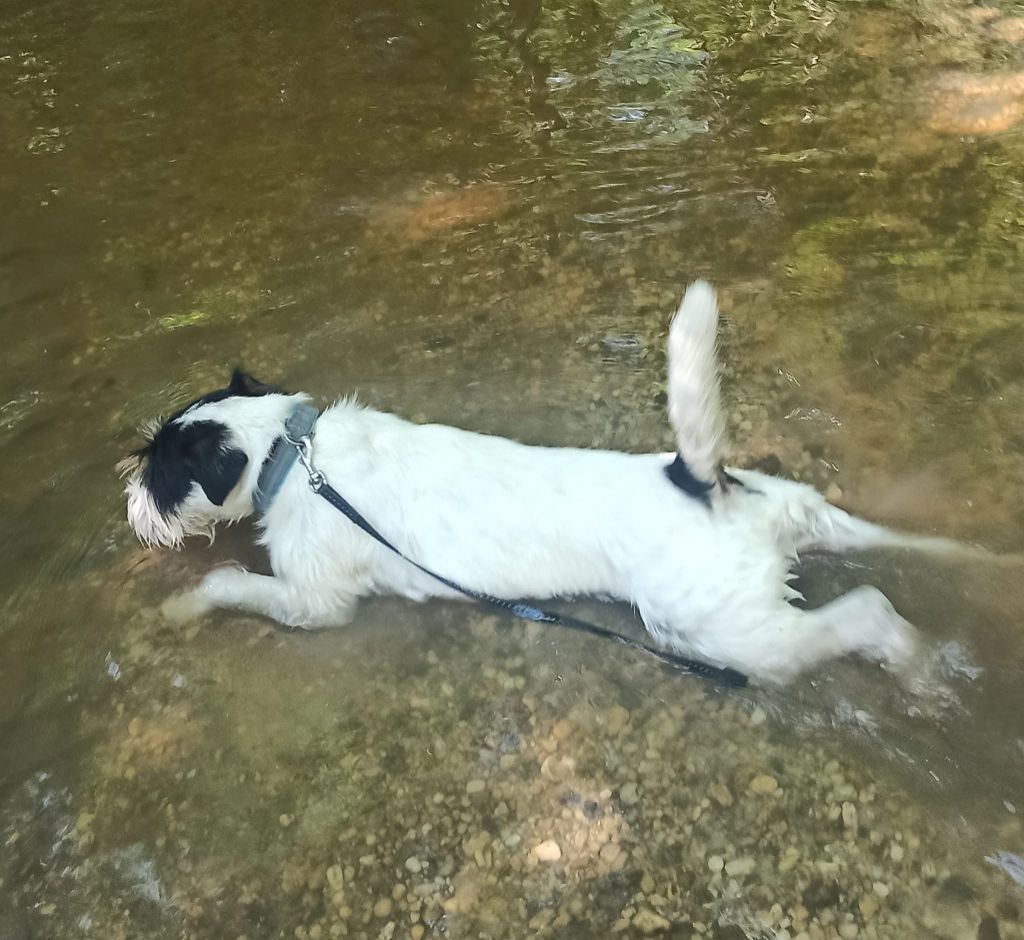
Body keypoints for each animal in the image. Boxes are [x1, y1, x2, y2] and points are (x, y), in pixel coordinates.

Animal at [121, 280, 966, 684]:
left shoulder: (313, 601)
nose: (128, 501)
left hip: (727, 632)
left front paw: (182, 606)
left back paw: (919, 672)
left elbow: (231, 582)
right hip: (793, 522)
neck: (293, 456)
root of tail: (700, 483)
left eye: (159, 472)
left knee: (865, 612)